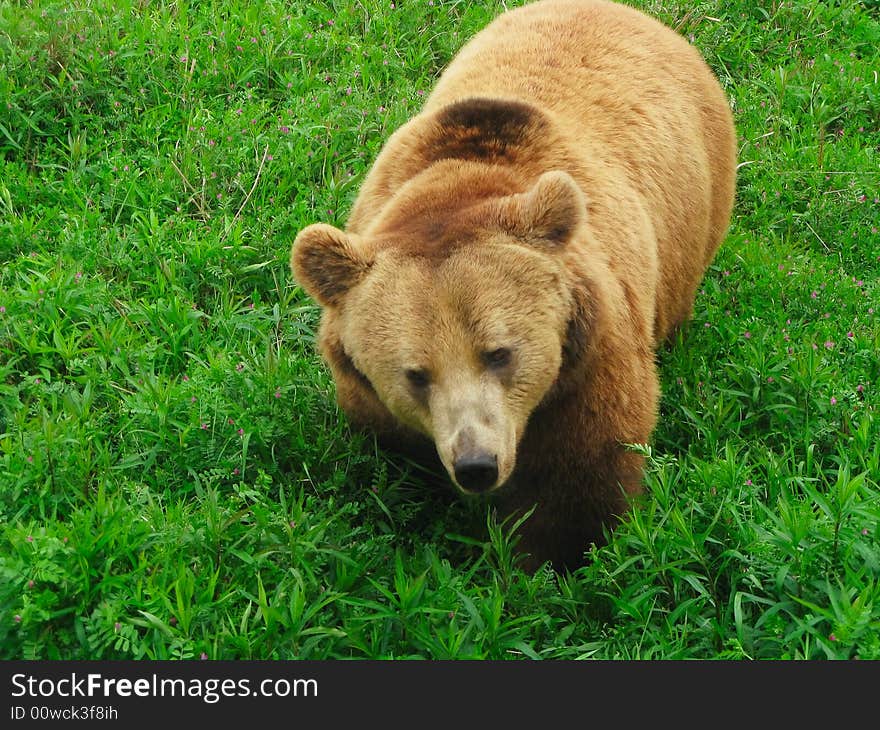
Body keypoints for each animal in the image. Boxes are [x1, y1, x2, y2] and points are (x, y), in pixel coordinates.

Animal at [290, 0, 736, 568]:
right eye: (416, 374)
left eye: (498, 352)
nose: (477, 464)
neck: (459, 186)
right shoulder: (369, 400)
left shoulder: (588, 358)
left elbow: (580, 482)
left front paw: (558, 555)